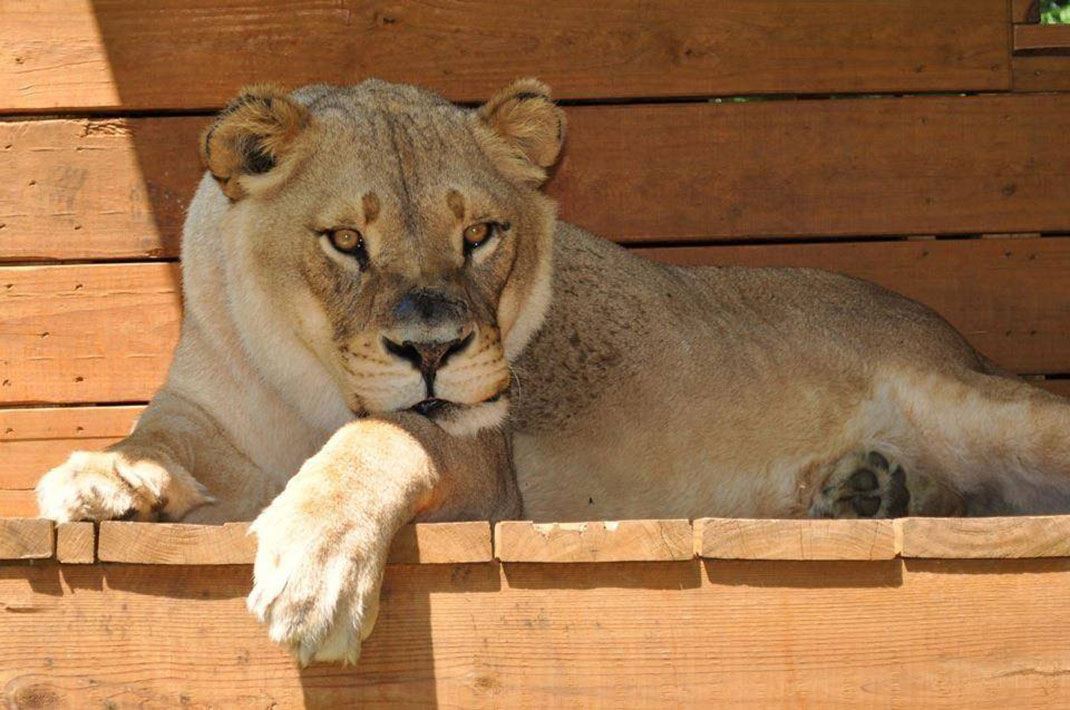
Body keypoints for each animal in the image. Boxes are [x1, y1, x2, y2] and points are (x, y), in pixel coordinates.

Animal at [35, 78, 1070, 664]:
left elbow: (376, 438)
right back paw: (872, 489)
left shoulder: (481, 453)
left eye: (480, 234)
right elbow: (157, 435)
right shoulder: (207, 404)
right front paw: (100, 479)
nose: (433, 352)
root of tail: (949, 335)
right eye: (345, 242)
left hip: (982, 403)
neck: (305, 380)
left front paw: (312, 572)